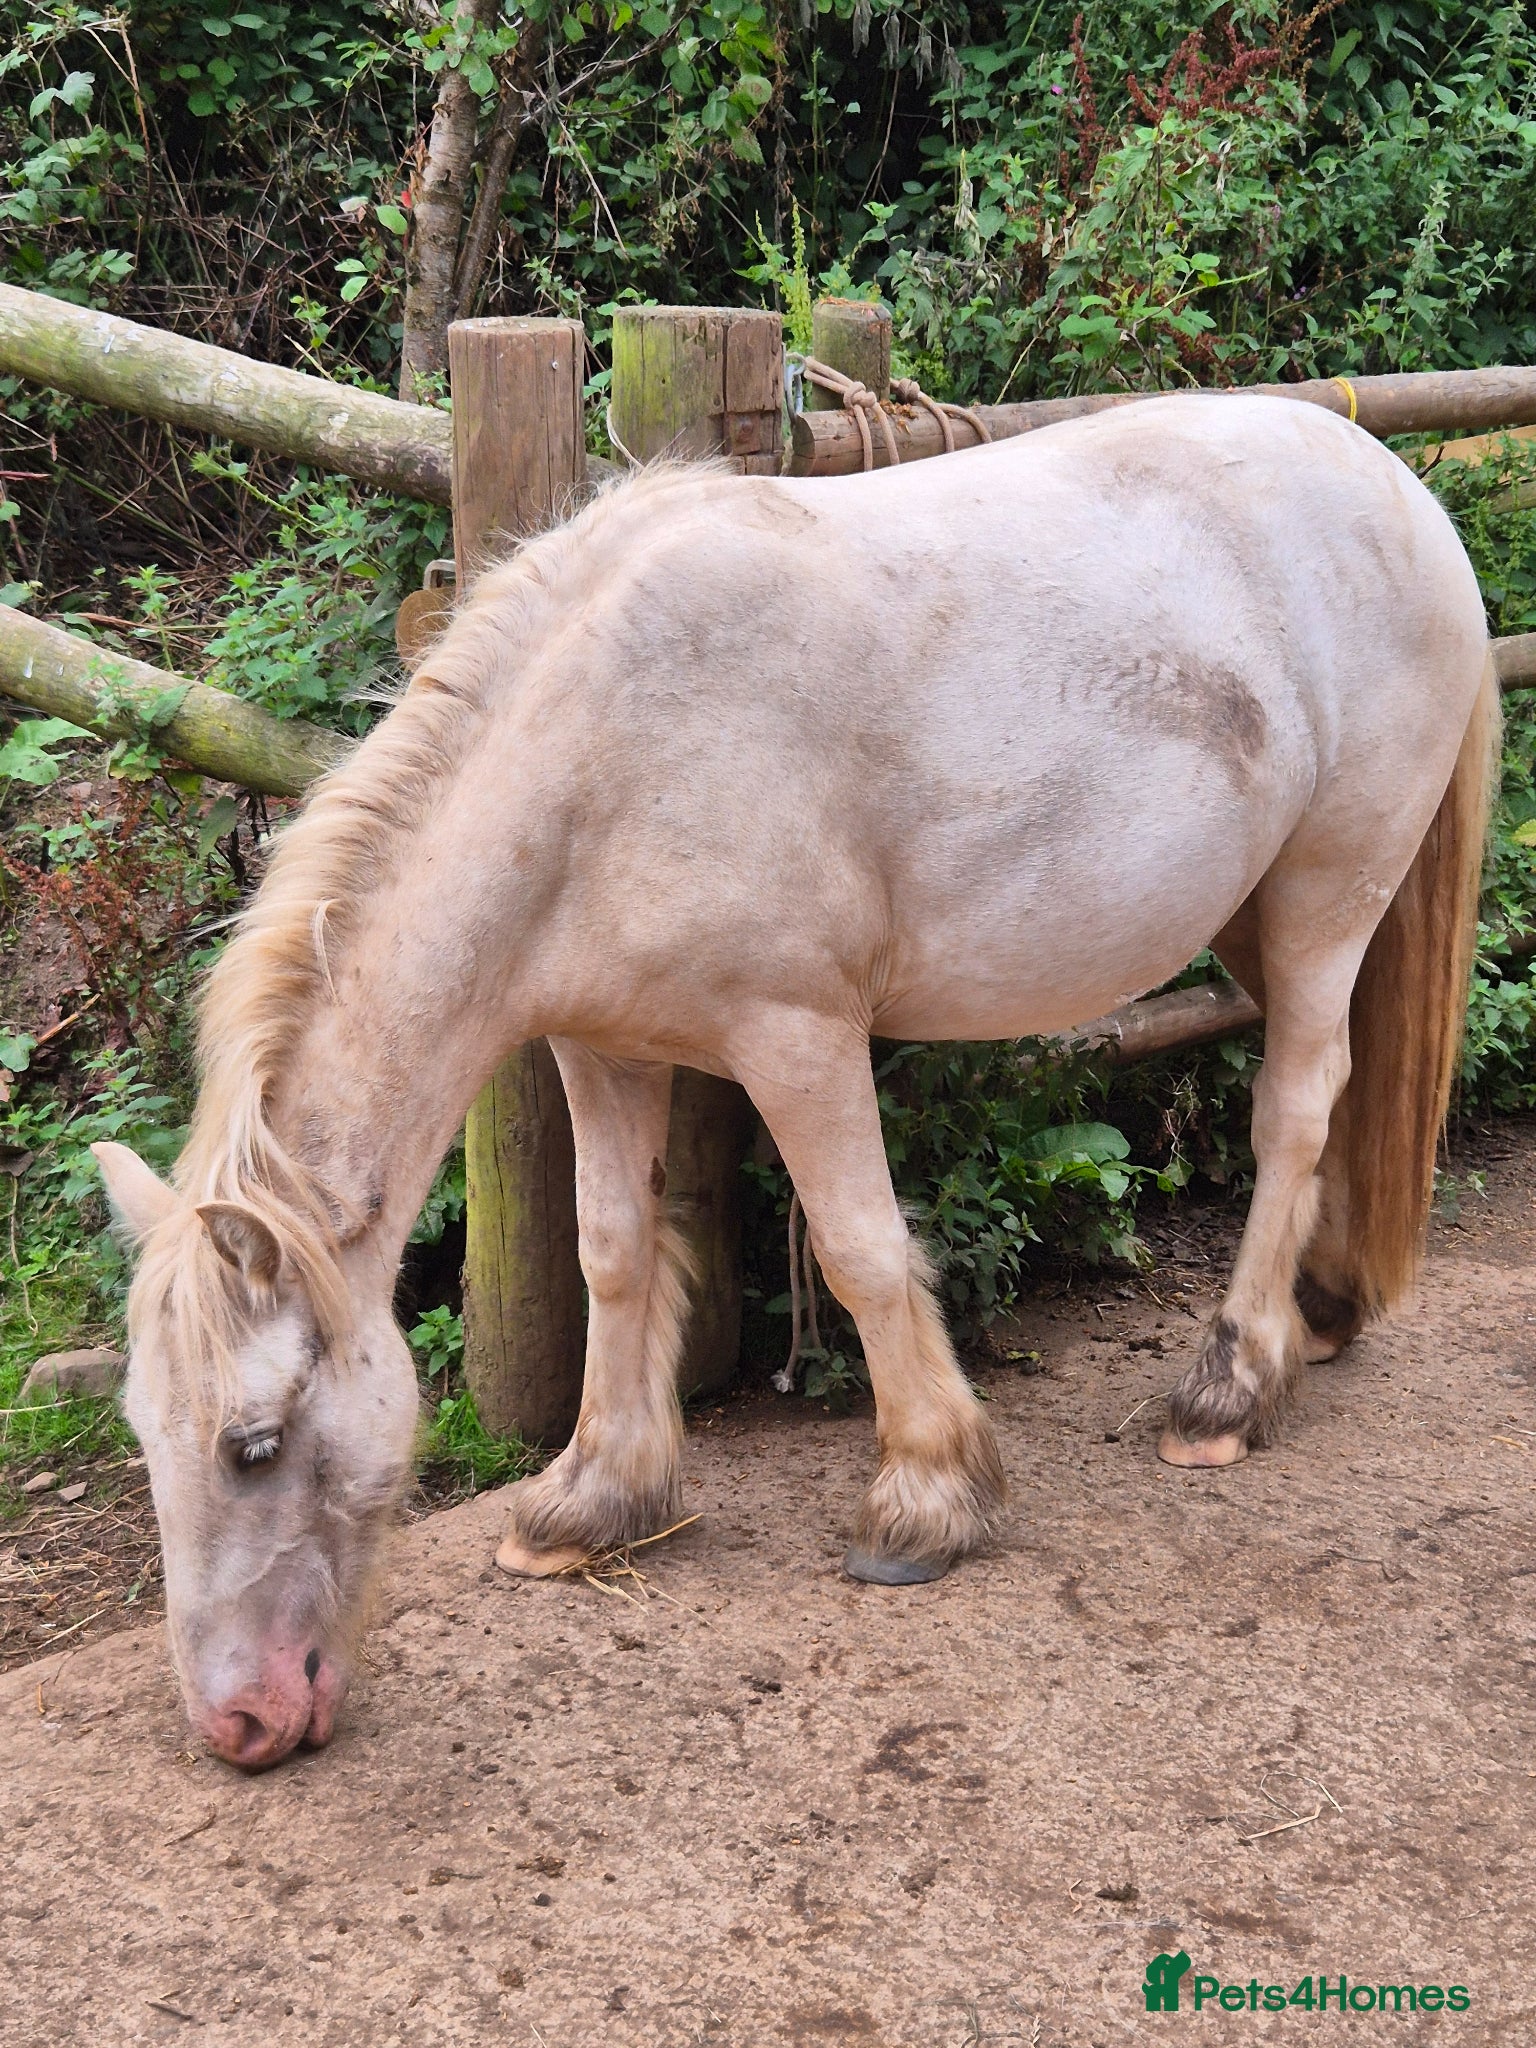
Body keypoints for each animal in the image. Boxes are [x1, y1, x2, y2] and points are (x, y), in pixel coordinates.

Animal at [94, 393, 1496, 1768]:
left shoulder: (796, 1035)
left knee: (1295, 1107)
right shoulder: (602, 1048)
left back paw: (1234, 1382)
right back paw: (1321, 1309)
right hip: (1256, 914)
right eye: (144, 1434)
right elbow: (614, 1252)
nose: (238, 1722)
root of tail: (1399, 487)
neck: (601, 753)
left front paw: (927, 1497)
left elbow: (859, 1248)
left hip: (1326, 895)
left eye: (253, 1444)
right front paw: (593, 1497)